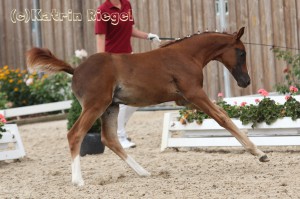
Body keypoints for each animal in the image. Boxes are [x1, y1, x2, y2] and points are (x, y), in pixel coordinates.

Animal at [26, 27, 270, 186]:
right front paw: (259, 153)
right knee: (75, 134)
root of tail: (75, 69)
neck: (185, 55)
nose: (245, 81)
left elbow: (219, 115)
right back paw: (78, 180)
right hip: (96, 106)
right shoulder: (195, 94)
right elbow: (223, 118)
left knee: (110, 139)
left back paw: (144, 172)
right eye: (241, 52)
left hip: (110, 107)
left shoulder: (185, 100)